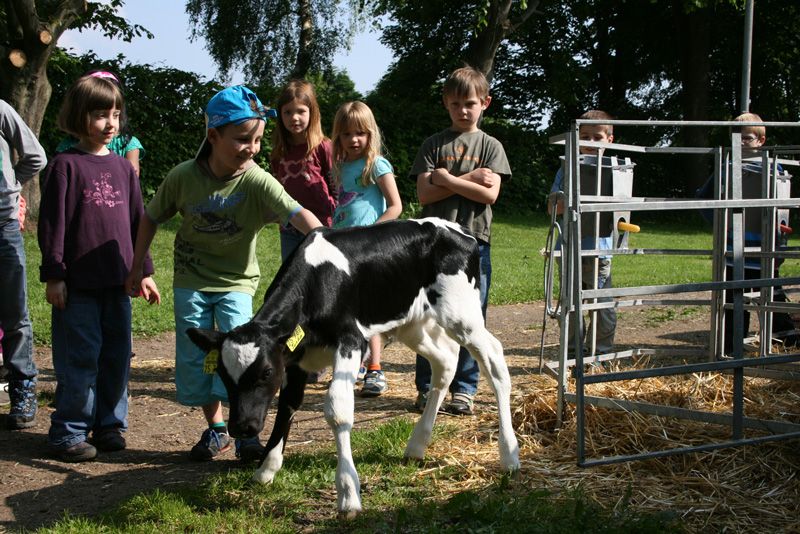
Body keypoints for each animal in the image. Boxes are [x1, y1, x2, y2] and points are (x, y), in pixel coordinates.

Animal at [188, 218, 520, 520]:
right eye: (222, 374)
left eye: (267, 372)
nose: (242, 427)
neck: (317, 281)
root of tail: (459, 230)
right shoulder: (296, 358)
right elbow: (288, 404)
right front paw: (266, 470)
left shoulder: (351, 341)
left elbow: (338, 410)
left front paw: (348, 494)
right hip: (412, 322)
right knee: (446, 361)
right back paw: (417, 445)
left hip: (462, 315)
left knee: (494, 358)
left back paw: (509, 455)